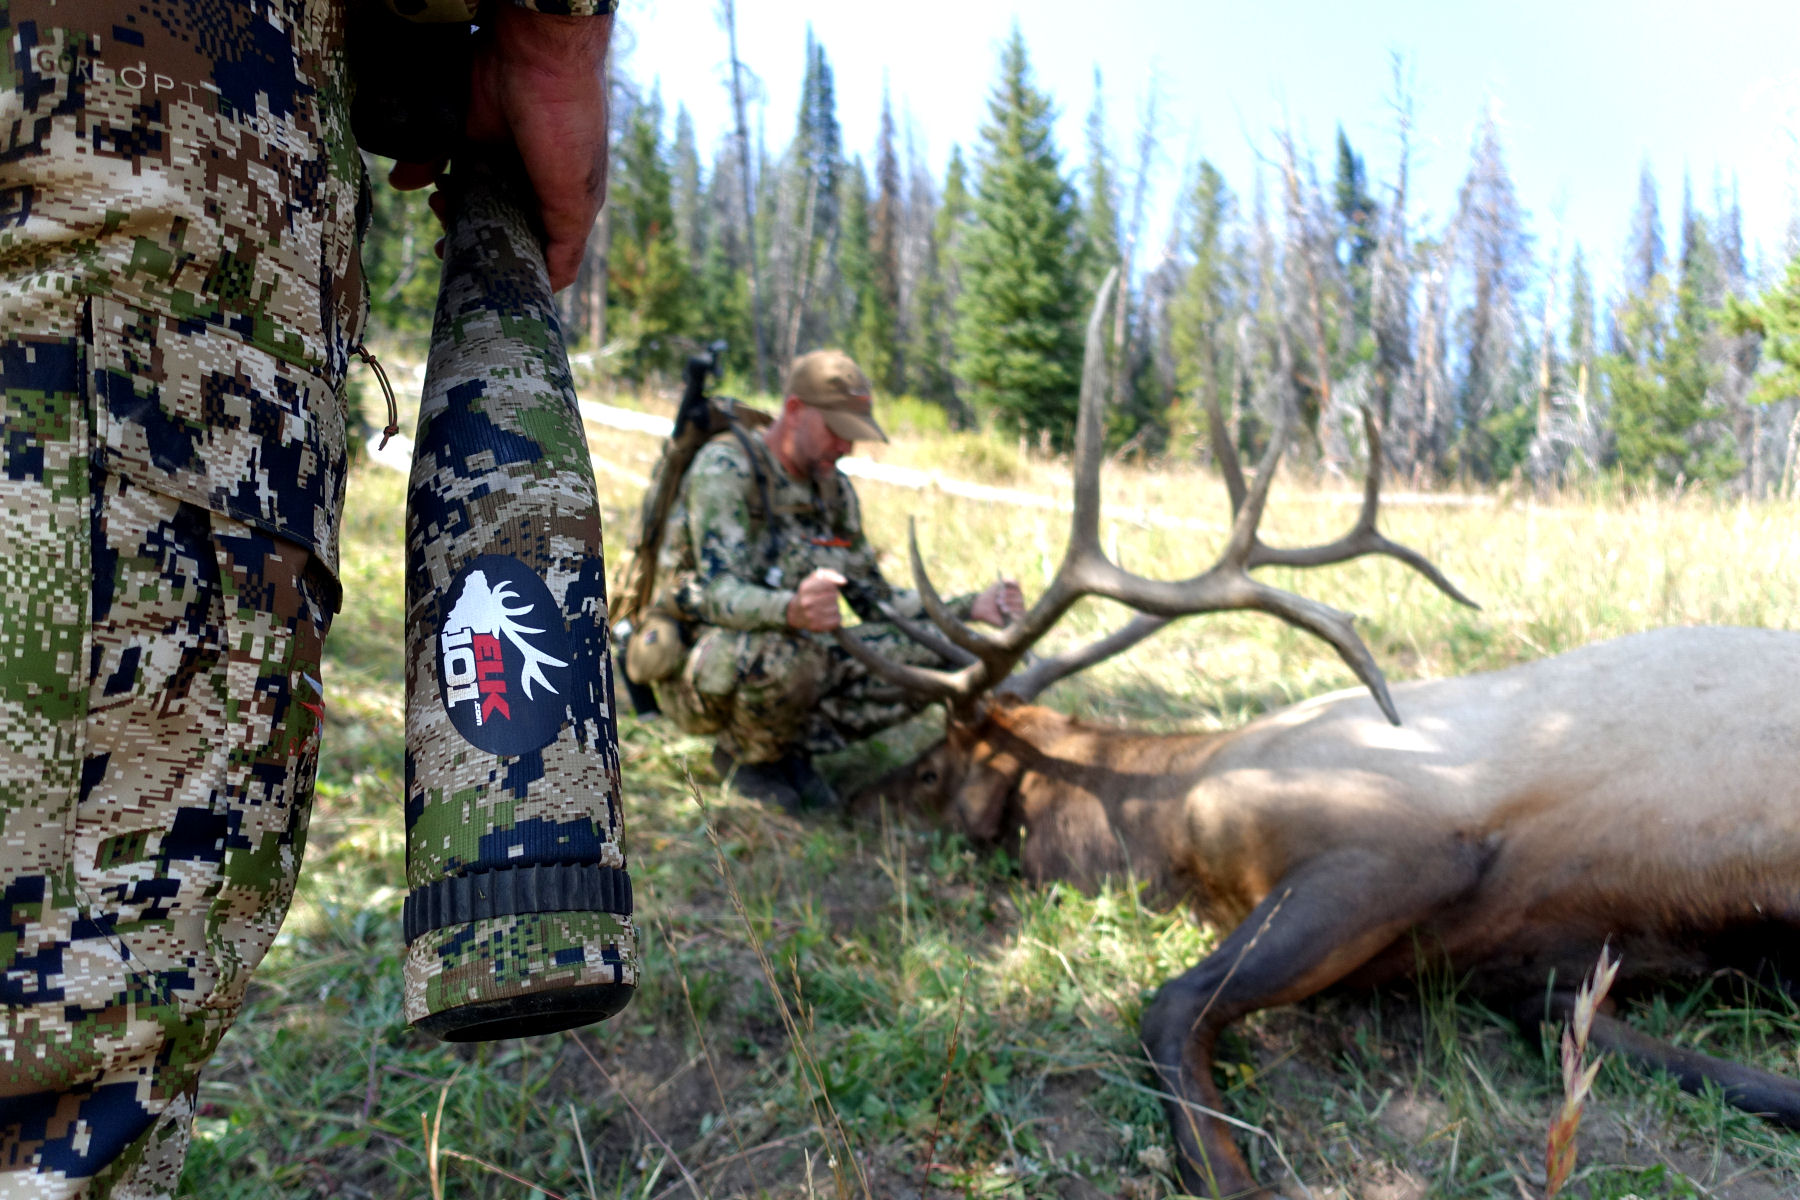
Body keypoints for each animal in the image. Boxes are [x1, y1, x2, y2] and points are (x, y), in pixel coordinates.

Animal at [836, 272, 1800, 1199]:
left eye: (930, 771)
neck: (1174, 824)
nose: (851, 798)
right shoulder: (1545, 962)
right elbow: (1634, 1045)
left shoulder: (1398, 845)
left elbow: (1171, 1004)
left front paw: (1230, 1178)